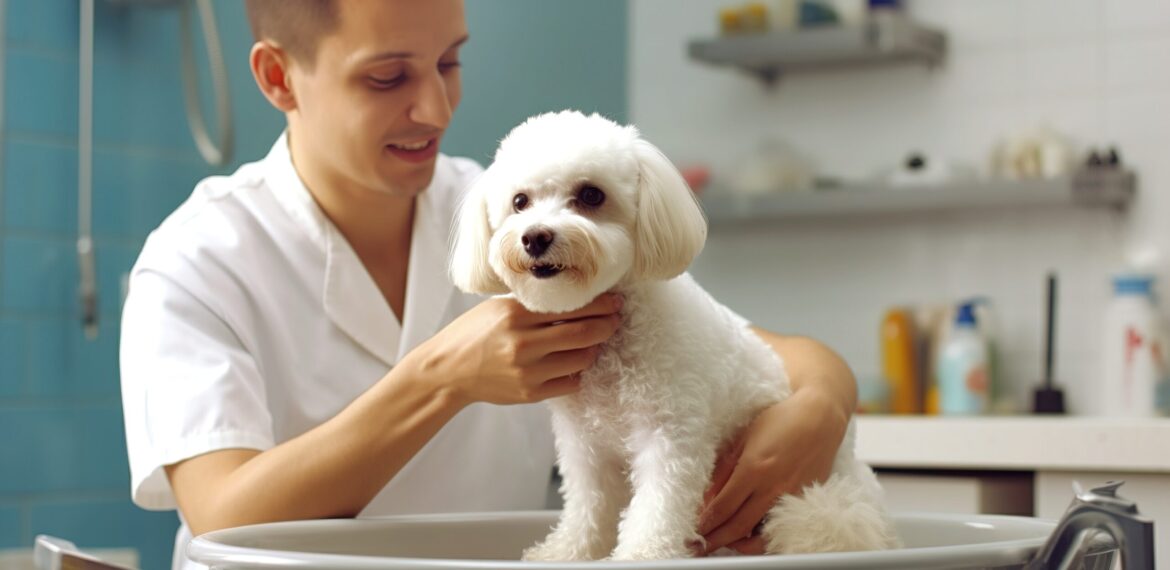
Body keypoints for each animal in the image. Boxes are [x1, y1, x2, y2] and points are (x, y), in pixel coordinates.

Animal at [446, 109, 893, 559]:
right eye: (520, 202)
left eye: (591, 195)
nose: (535, 236)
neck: (614, 350)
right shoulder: (586, 448)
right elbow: (588, 505)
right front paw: (568, 551)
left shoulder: (671, 438)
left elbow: (657, 507)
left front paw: (642, 555)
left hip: (819, 505)